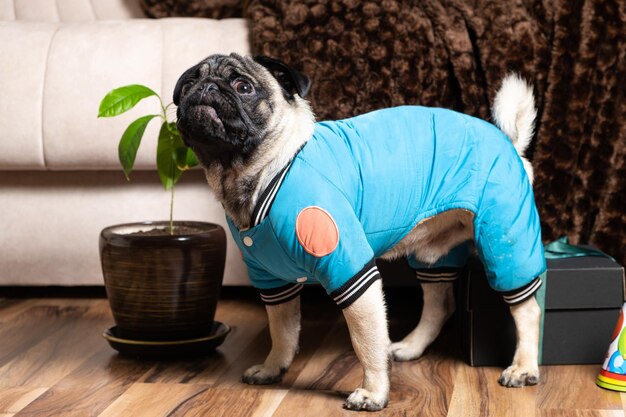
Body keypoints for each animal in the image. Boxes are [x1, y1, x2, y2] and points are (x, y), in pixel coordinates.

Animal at [173, 52, 544, 410]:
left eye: (243, 87)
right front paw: (272, 367)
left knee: (527, 309)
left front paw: (374, 393)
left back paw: (523, 368)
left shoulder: (350, 272)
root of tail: (509, 143)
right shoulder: (272, 282)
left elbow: (366, 343)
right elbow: (282, 332)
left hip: (504, 237)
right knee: (439, 304)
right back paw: (411, 347)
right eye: (189, 83)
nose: (206, 87)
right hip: (434, 256)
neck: (260, 171)